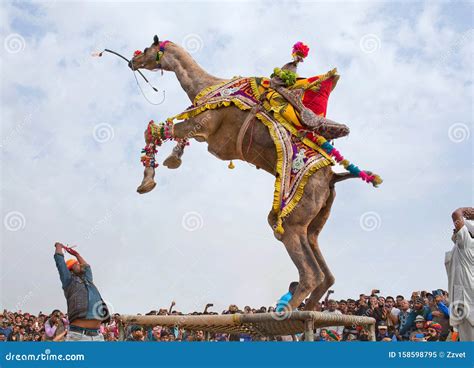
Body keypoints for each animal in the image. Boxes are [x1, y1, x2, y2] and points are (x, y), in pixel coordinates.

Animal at [130, 36, 366, 310]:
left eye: (148, 49)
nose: (133, 61)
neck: (206, 85)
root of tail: (333, 178)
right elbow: (162, 133)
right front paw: (170, 161)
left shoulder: (202, 125)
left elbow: (154, 130)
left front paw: (147, 181)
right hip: (314, 223)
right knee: (326, 275)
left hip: (292, 221)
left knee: (310, 273)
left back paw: (285, 313)